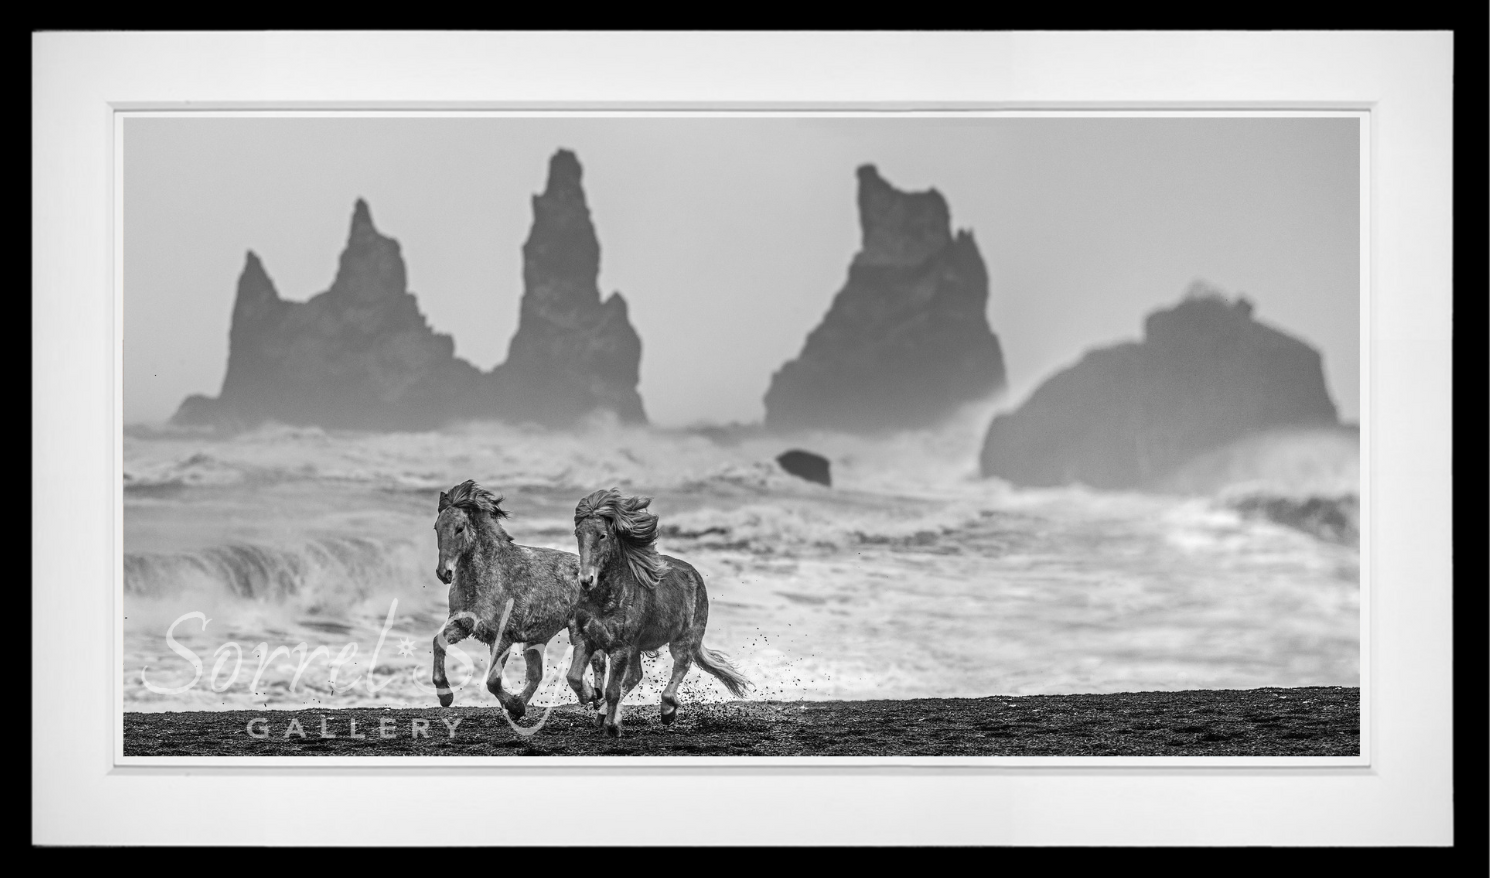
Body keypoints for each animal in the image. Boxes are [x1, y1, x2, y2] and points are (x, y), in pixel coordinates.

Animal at [435, 479, 607, 718]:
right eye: (436, 527)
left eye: (459, 528)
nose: (444, 573)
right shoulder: (463, 624)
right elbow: (438, 642)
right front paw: (445, 696)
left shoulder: (502, 638)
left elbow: (493, 681)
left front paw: (513, 705)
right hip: (535, 640)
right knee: (537, 675)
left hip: (577, 628)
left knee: (595, 660)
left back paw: (593, 696)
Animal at [563, 488, 750, 736]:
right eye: (578, 533)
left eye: (602, 535)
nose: (586, 580)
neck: (607, 600)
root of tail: (694, 574)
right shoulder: (587, 640)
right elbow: (574, 677)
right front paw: (592, 697)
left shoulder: (620, 649)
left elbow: (613, 690)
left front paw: (613, 727)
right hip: (637, 648)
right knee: (635, 676)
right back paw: (604, 713)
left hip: (683, 639)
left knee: (681, 665)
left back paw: (667, 710)